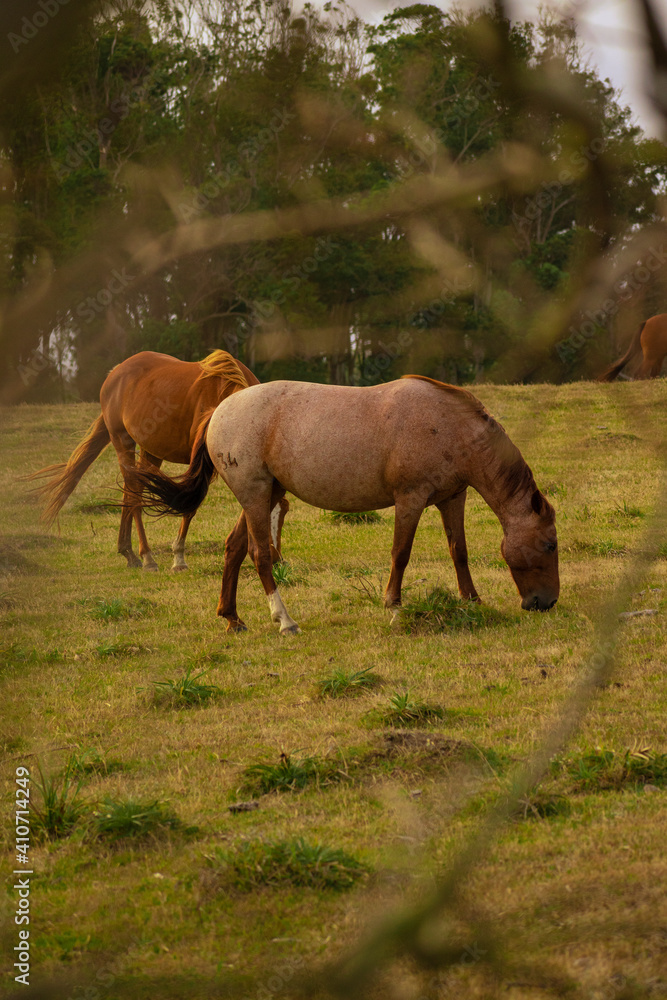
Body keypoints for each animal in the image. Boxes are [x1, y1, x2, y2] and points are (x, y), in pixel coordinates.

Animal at [26, 350, 288, 571]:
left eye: (282, 516)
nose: (276, 559)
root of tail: (115, 373)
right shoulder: (199, 465)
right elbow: (189, 506)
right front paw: (179, 558)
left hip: (152, 451)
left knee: (132, 492)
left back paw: (128, 552)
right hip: (123, 442)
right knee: (133, 494)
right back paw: (146, 557)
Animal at [128, 375, 559, 634]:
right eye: (550, 544)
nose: (546, 602)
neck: (449, 424)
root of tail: (219, 410)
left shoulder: (452, 498)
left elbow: (459, 551)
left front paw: (471, 602)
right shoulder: (410, 499)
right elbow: (401, 554)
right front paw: (394, 607)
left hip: (267, 494)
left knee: (234, 549)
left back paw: (232, 618)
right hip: (255, 495)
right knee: (259, 554)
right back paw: (284, 620)